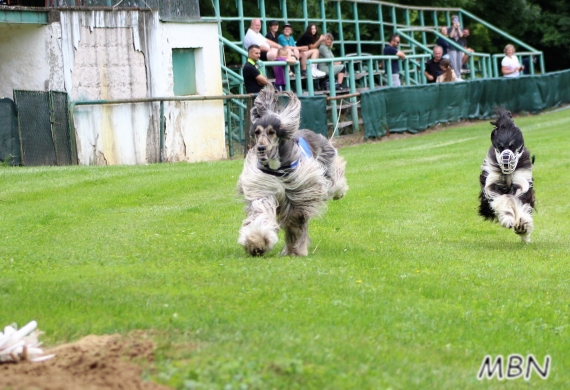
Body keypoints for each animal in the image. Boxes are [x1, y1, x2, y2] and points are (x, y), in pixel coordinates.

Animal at [235, 85, 346, 256]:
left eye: (271, 132)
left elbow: (296, 220)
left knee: (335, 177)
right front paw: (257, 241)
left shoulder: (300, 191)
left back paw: (339, 191)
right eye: (257, 132)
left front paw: (296, 249)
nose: (261, 148)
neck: (277, 165)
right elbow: (262, 212)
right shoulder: (265, 189)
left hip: (326, 163)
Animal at [478, 108, 536, 242]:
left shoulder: (521, 180)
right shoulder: (493, 183)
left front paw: (522, 226)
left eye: (512, 146)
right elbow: (503, 200)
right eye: (500, 147)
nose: (505, 161)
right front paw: (509, 218)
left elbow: (520, 200)